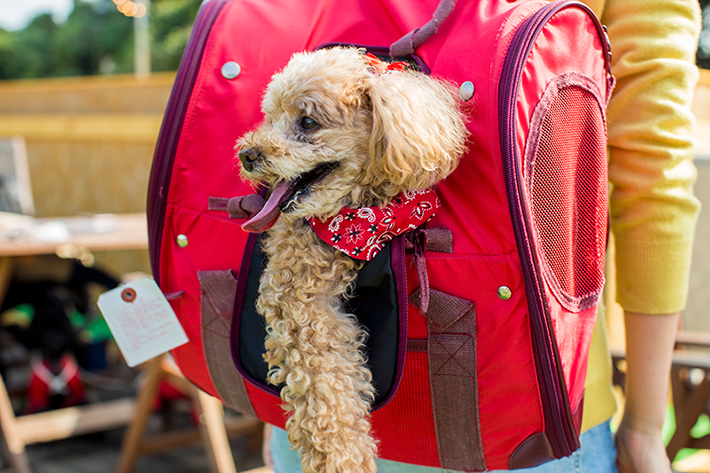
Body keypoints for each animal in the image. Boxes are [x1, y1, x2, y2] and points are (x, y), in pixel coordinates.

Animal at [238, 45, 468, 472]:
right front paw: (344, 459)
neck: (356, 218)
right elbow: (325, 391)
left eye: (307, 122)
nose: (247, 154)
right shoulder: (298, 300)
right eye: (270, 117)